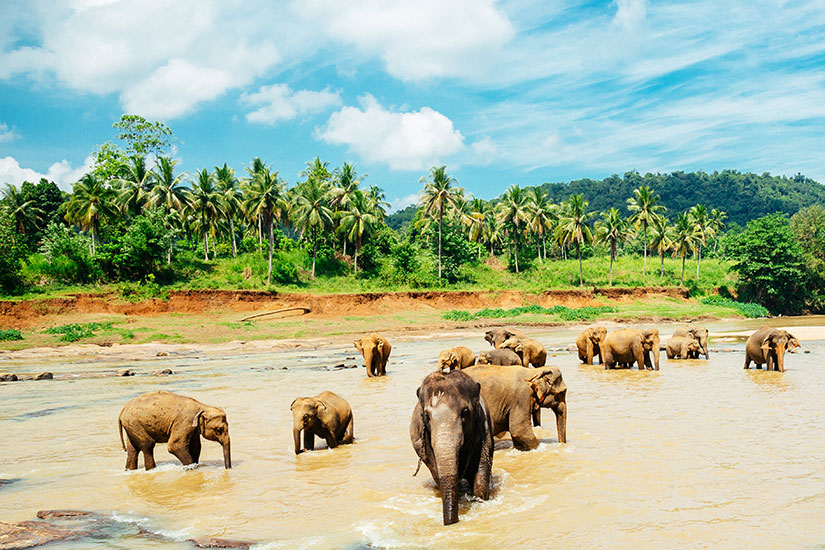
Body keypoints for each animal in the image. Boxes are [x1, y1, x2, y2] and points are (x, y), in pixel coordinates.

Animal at [410, 370, 493, 525]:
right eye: (426, 416)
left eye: (465, 412)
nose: (450, 523)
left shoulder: (484, 430)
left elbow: (481, 470)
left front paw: (479, 499)